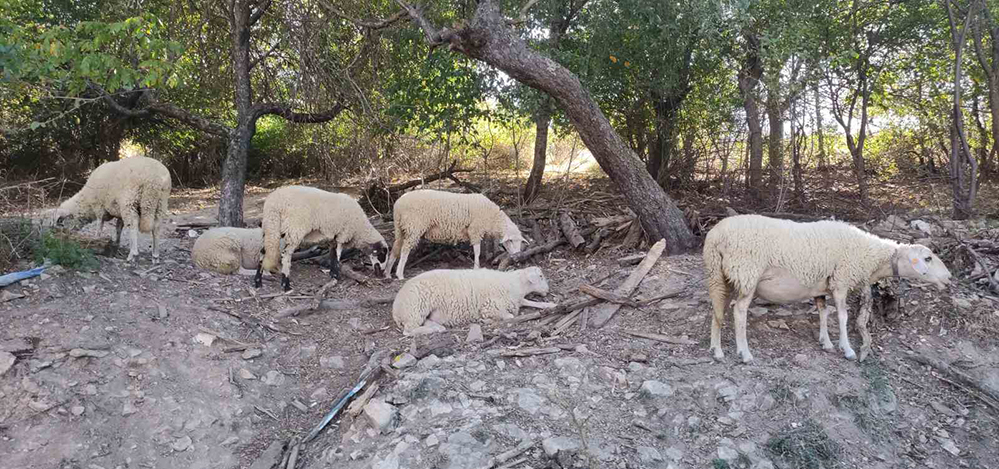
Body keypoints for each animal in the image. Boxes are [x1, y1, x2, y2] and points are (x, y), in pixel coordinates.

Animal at [254, 186, 386, 288]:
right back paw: (286, 285)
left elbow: (332, 254)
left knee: (263, 252)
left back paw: (258, 282)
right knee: (286, 255)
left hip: (271, 226)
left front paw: (333, 274)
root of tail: (274, 204)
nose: (383, 273)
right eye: (382, 254)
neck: (360, 228)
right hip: (294, 228)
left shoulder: (333, 237)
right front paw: (337, 276)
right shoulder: (343, 235)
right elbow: (338, 255)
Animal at [380, 189, 528, 280]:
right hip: (414, 226)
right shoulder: (475, 229)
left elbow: (486, 247)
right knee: (405, 250)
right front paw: (476, 267)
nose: (517, 256)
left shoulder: (481, 231)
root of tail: (398, 205)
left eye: (519, 242)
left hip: (401, 228)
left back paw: (387, 273)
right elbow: (477, 250)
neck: (493, 218)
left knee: (396, 248)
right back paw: (399, 274)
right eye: (510, 241)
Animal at [392, 266, 564, 334]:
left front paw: (550, 304)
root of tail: (395, 309)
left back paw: (437, 327)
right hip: (415, 309)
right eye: (540, 276)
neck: (515, 284)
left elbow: (533, 303)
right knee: (409, 331)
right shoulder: (491, 306)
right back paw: (432, 330)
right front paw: (486, 320)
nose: (548, 291)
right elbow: (509, 316)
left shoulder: (517, 300)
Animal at [704, 214, 952, 364]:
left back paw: (717, 351)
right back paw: (744, 353)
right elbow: (842, 316)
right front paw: (848, 349)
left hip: (721, 276)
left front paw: (826, 343)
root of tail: (715, 236)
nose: (949, 278)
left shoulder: (821, 285)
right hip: (747, 273)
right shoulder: (841, 280)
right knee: (739, 311)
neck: (870, 256)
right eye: (928, 258)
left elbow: (823, 313)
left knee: (718, 311)